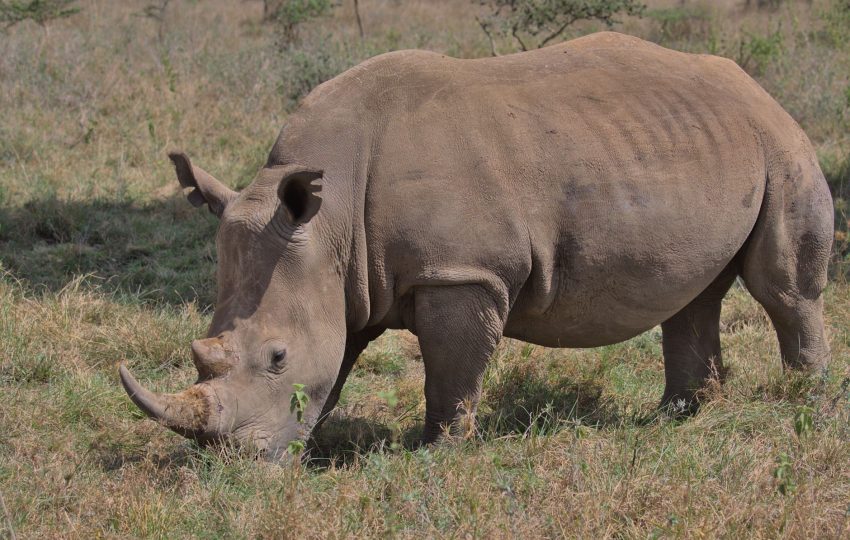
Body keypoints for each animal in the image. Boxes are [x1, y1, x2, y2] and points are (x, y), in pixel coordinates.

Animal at [119, 32, 833, 460]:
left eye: (276, 357)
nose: (231, 464)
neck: (331, 220)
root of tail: (752, 84)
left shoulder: (463, 272)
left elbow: (452, 369)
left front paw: (436, 451)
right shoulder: (346, 277)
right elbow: (341, 360)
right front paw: (311, 441)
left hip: (780, 142)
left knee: (783, 290)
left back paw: (806, 402)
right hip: (700, 141)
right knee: (693, 293)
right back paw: (676, 419)